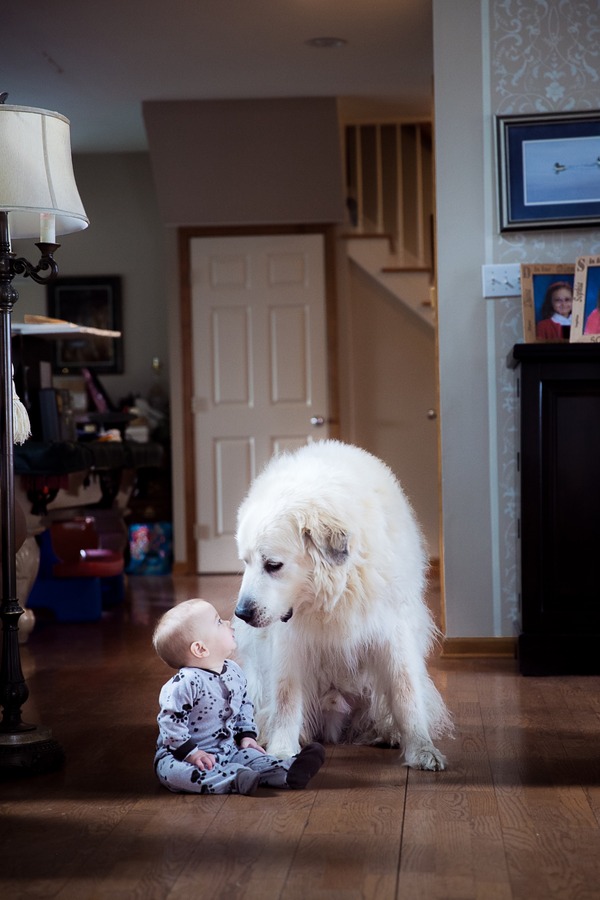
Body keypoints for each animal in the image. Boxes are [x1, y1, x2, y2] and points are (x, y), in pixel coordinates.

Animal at [232, 440, 452, 768]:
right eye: (245, 562)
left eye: (273, 565)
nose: (241, 613)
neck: (334, 594)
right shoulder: (288, 639)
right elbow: (286, 696)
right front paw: (282, 750)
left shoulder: (392, 630)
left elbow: (405, 693)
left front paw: (422, 749)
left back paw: (387, 732)